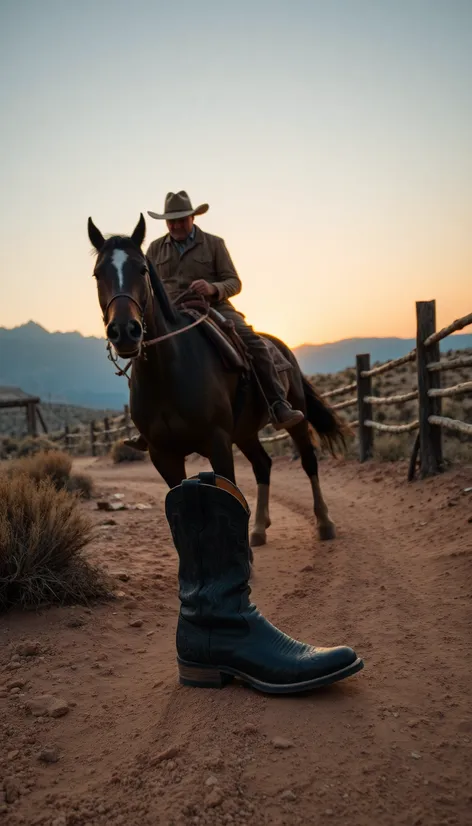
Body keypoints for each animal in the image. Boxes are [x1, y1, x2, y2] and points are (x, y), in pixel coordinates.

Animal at [88, 212, 348, 548]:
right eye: (97, 274)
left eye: (142, 269)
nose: (124, 331)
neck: (167, 375)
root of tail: (282, 347)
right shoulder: (163, 455)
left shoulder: (218, 442)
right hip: (245, 432)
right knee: (263, 465)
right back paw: (259, 529)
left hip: (295, 418)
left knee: (308, 460)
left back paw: (324, 522)